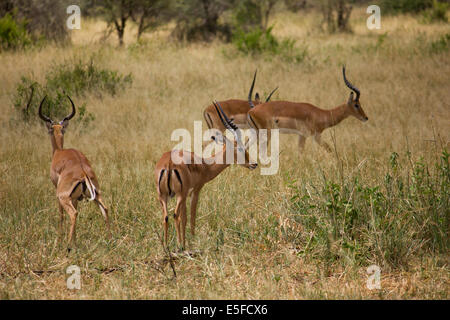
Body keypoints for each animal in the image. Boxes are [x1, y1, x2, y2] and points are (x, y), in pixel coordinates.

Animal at [38, 95, 109, 250]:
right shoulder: (76, 198)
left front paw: (60, 241)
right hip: (96, 194)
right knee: (105, 209)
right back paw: (111, 238)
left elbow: (60, 215)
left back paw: (67, 246)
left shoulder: (57, 192)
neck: (59, 152)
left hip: (63, 197)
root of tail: (83, 173)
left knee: (73, 214)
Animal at [156, 101, 256, 249]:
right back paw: (179, 246)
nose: (254, 164)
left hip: (163, 196)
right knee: (175, 216)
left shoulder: (185, 195)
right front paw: (190, 242)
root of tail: (168, 163)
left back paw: (167, 246)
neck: (204, 165)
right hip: (179, 195)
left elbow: (185, 217)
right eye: (240, 148)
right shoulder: (195, 191)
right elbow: (191, 217)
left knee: (166, 217)